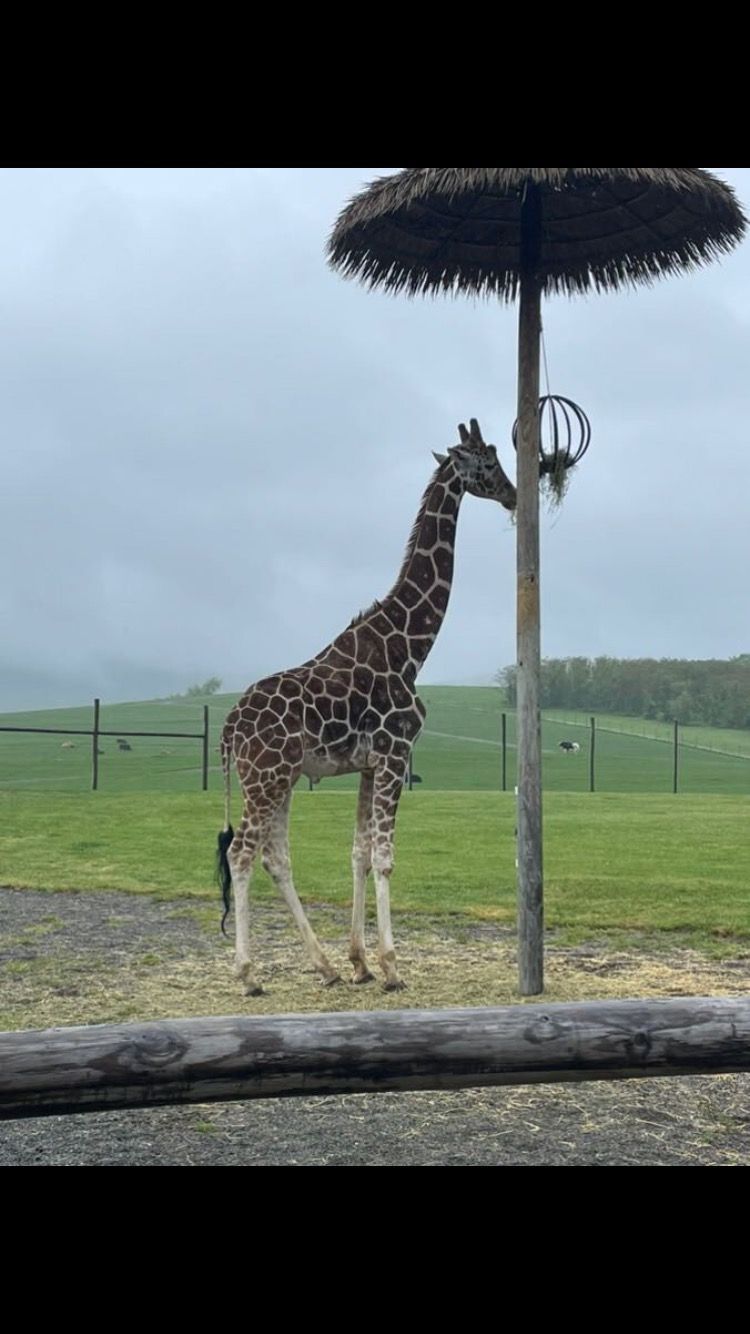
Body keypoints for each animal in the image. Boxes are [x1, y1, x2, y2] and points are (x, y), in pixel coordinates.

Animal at [217, 418, 517, 995]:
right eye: (489, 463)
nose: (514, 495)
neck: (410, 647)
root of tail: (228, 729)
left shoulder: (368, 763)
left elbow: (357, 853)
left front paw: (358, 962)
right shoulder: (397, 753)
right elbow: (383, 857)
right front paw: (392, 967)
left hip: (280, 778)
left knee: (274, 856)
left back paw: (325, 966)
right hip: (266, 778)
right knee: (241, 852)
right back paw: (247, 974)